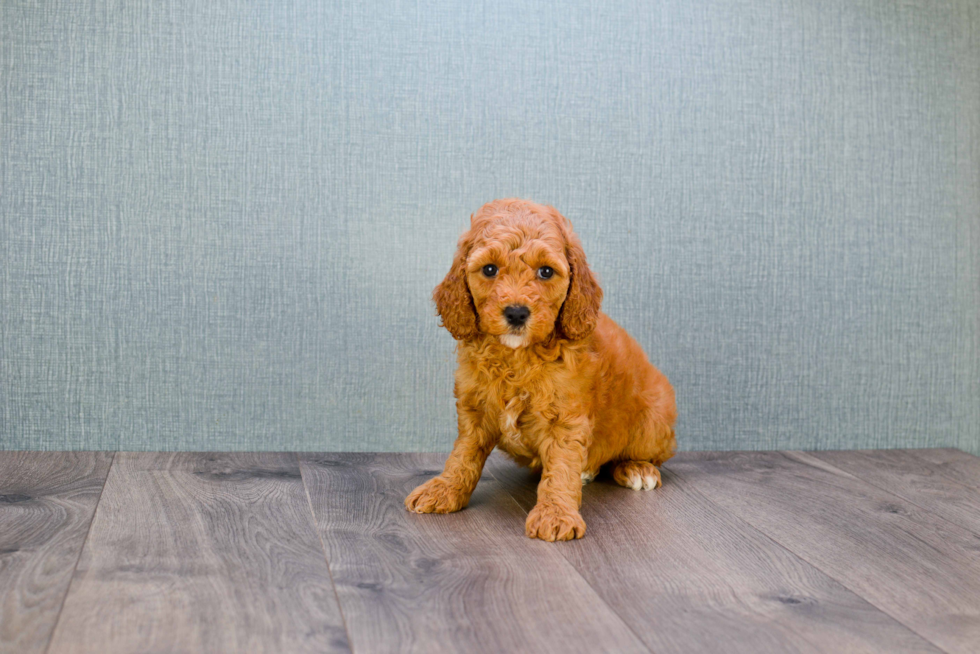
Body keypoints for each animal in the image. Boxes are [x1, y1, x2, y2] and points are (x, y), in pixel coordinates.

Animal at [404, 201, 672, 544]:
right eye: (489, 269)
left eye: (546, 271)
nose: (517, 313)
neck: (516, 357)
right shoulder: (473, 409)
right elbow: (463, 454)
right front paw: (444, 488)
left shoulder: (566, 417)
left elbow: (561, 467)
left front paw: (555, 514)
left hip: (653, 422)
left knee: (642, 454)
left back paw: (637, 469)